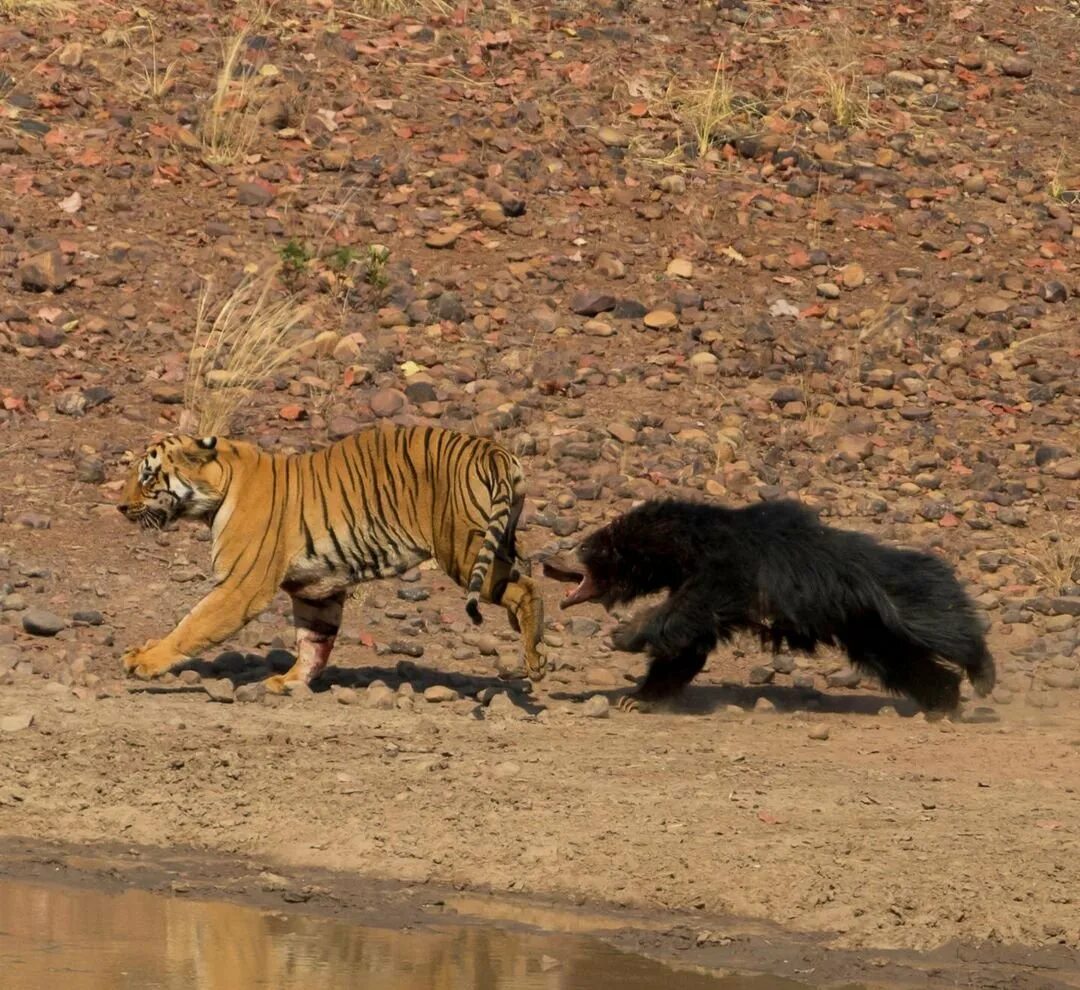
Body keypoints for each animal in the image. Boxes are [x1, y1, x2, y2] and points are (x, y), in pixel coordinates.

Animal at [116, 421, 548, 690]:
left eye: (147, 478)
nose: (119, 507)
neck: (220, 486)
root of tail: (492, 448)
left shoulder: (241, 586)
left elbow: (192, 625)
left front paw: (145, 660)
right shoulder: (315, 590)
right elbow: (314, 641)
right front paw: (289, 682)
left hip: (460, 549)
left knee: (527, 587)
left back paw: (535, 661)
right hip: (498, 540)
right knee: (523, 575)